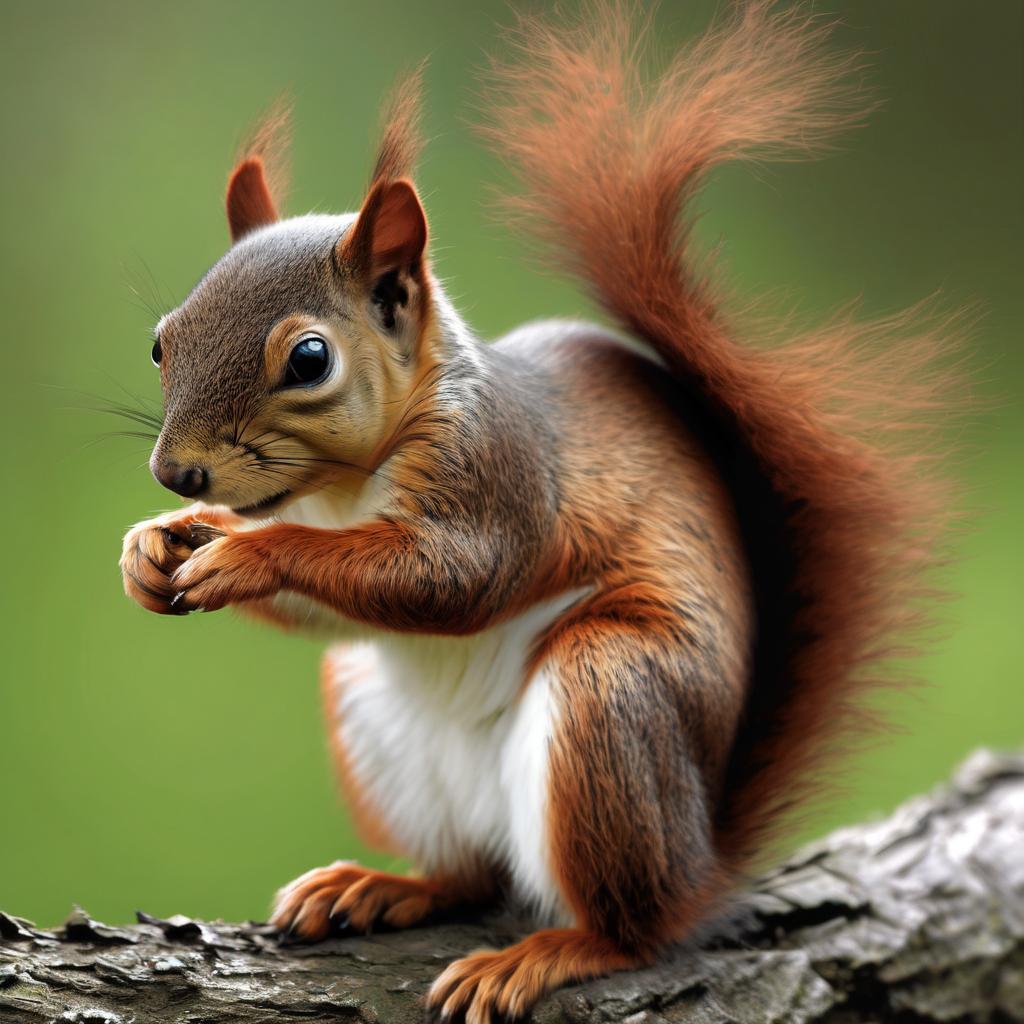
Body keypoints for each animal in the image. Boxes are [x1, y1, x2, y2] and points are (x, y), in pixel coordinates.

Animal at [119, 2, 960, 1020]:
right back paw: (381, 886)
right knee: (472, 874)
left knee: (632, 926)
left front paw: (244, 553)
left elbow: (453, 577)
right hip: (382, 728)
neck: (339, 490)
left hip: (609, 697)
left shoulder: (502, 472)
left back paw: (546, 952)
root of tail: (702, 858)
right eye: (162, 341)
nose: (176, 475)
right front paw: (152, 548)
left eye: (310, 359)